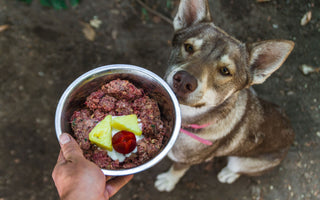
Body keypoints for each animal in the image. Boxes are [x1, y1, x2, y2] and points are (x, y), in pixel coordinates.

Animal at [154, 0, 296, 192]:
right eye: (189, 47)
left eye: (225, 71)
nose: (184, 81)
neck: (186, 117)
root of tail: (292, 134)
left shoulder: (185, 161)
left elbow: (177, 170)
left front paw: (168, 181)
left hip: (244, 162)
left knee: (238, 169)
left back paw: (228, 174)